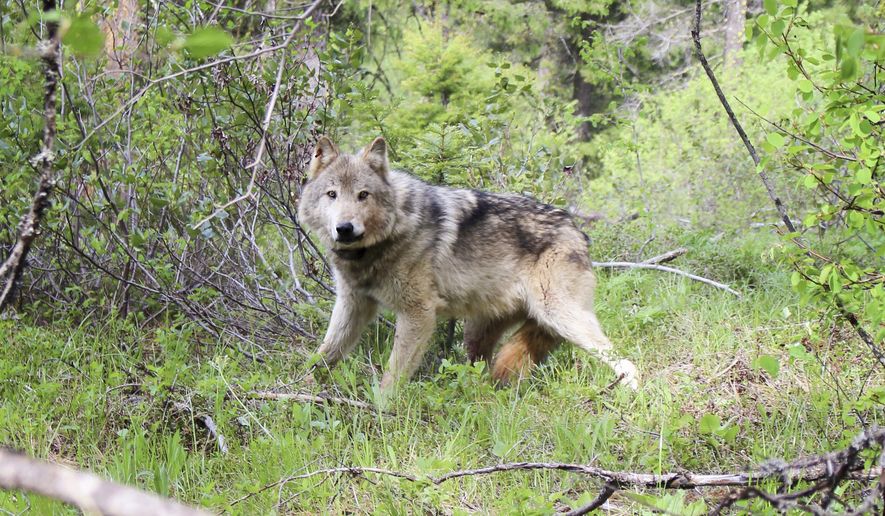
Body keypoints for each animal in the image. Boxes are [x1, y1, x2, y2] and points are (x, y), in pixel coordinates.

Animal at [297, 136, 638, 391]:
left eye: (363, 195)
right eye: (332, 194)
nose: (345, 228)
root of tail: (577, 231)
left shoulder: (418, 314)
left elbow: (393, 376)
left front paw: (382, 411)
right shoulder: (353, 305)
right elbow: (323, 354)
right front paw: (299, 390)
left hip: (560, 317)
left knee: (624, 360)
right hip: (478, 334)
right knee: (483, 372)